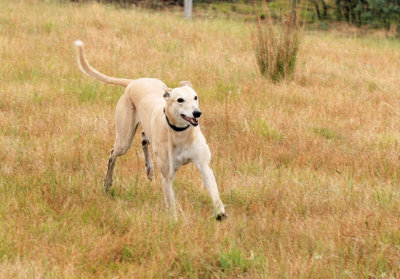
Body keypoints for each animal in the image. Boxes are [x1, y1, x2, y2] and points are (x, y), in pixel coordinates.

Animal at [74, 41, 227, 221]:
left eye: (195, 97)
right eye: (180, 100)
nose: (197, 113)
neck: (180, 133)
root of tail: (134, 82)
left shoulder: (203, 165)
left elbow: (214, 191)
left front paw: (220, 212)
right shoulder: (167, 176)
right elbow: (171, 204)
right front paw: (174, 222)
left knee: (143, 138)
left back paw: (149, 168)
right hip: (124, 140)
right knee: (113, 154)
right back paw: (108, 182)